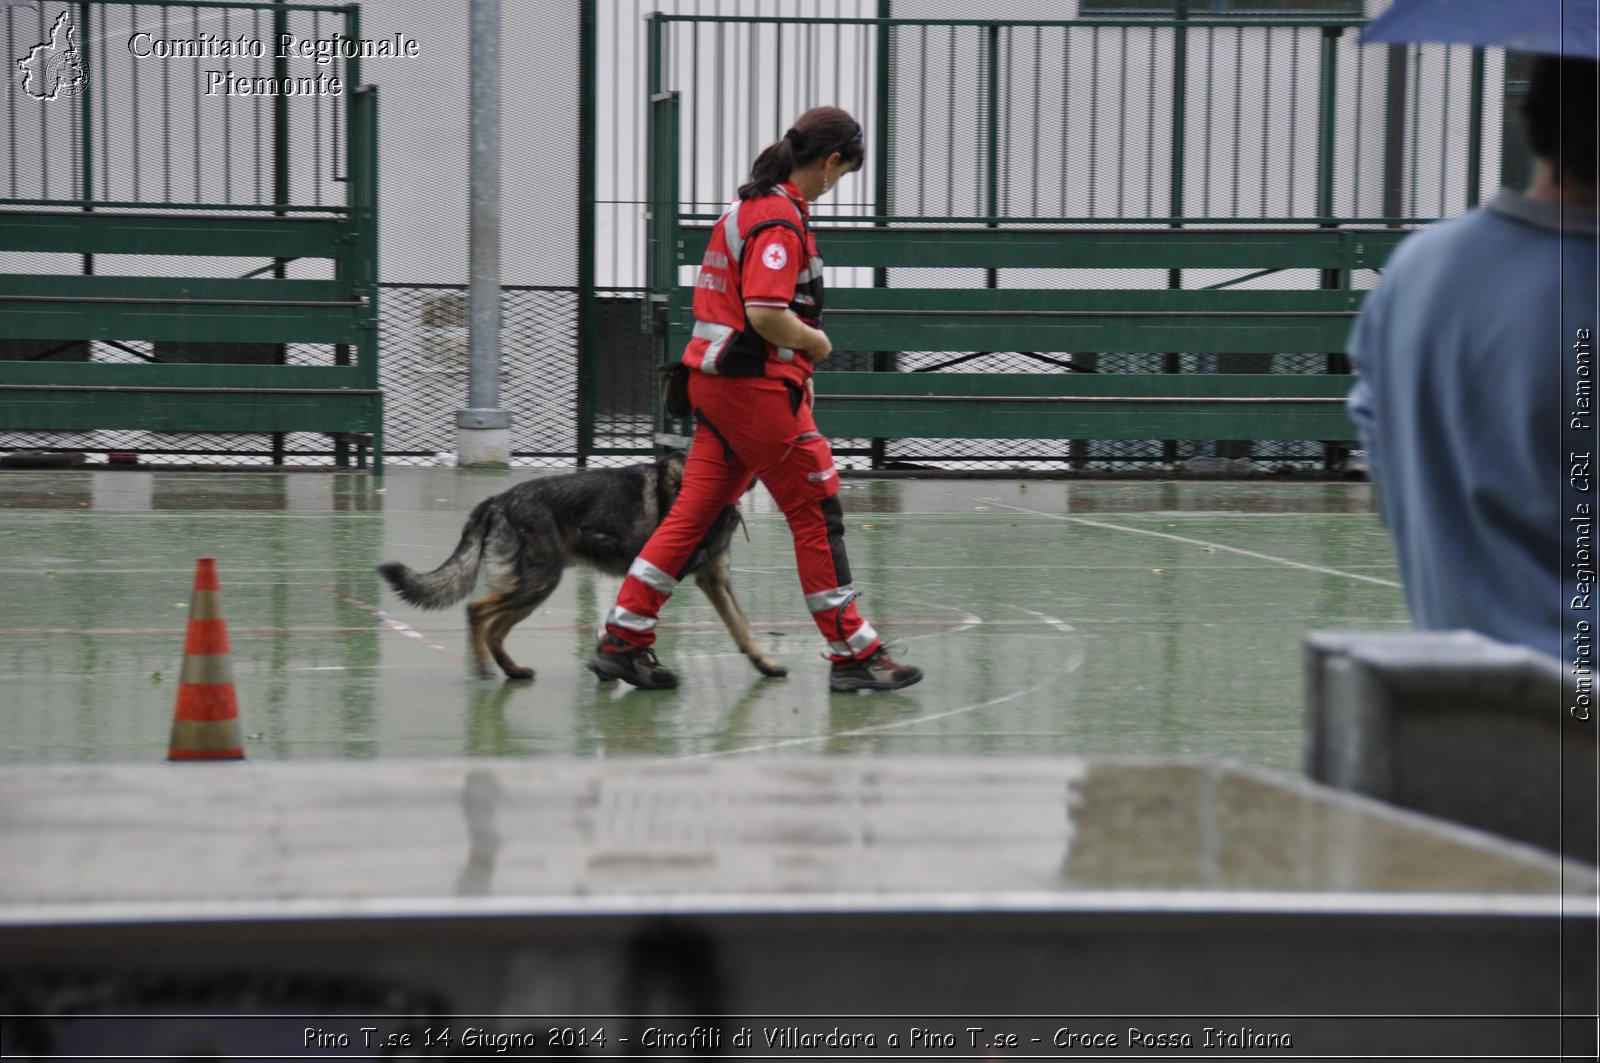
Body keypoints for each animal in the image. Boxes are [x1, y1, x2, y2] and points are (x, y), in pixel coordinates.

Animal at [376, 451, 787, 681]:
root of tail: (496, 501)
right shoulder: (670, 575)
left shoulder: (714, 579)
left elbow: (742, 628)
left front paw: (765, 664)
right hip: (538, 583)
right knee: (478, 612)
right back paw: (484, 670)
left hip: (535, 590)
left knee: (494, 628)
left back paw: (513, 669)